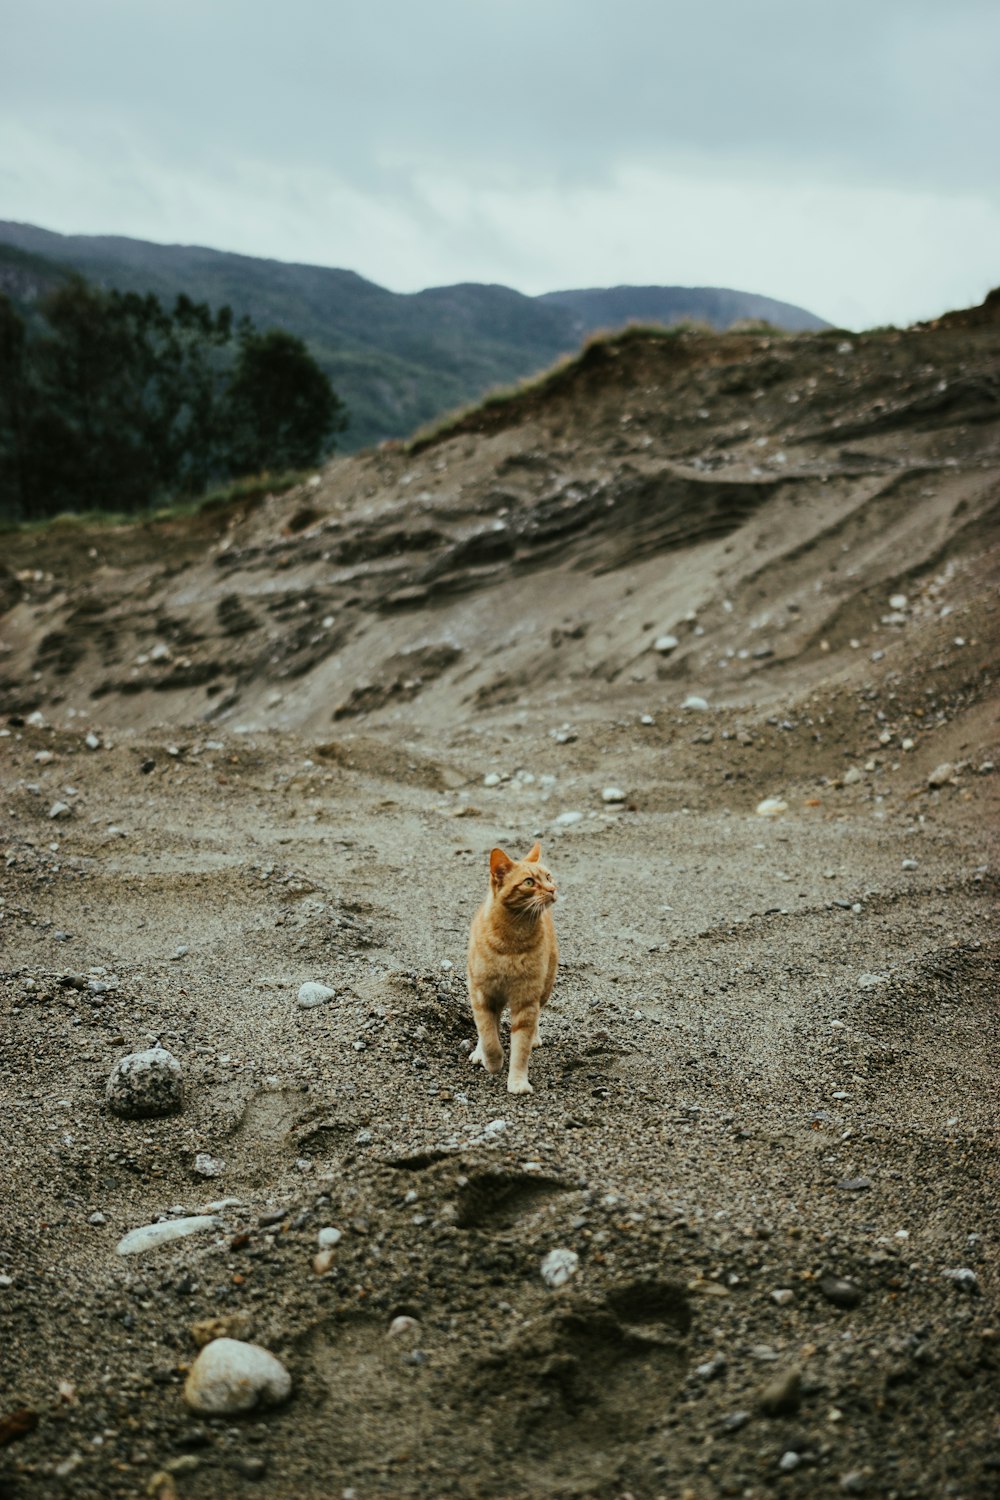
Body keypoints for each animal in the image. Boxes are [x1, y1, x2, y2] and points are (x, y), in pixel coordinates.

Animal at [467, 840, 560, 1098]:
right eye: (529, 882)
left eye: (548, 876)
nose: (552, 889)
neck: (513, 939)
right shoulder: (482, 995)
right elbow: (488, 1035)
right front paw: (492, 1061)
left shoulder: (526, 1000)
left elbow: (520, 1049)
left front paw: (517, 1082)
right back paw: (479, 1052)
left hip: (544, 988)